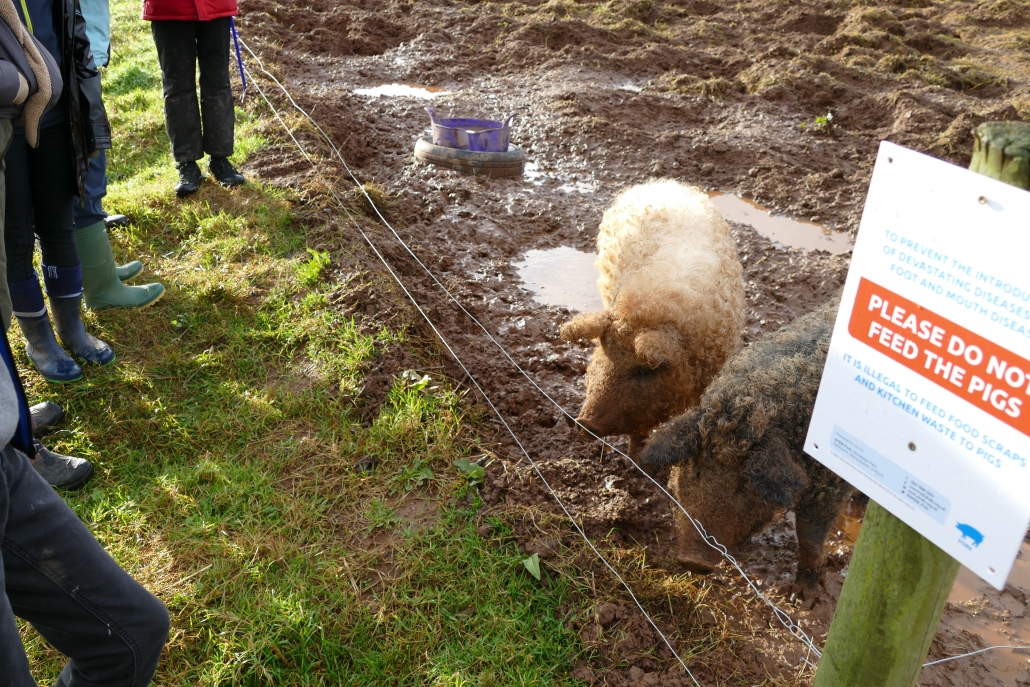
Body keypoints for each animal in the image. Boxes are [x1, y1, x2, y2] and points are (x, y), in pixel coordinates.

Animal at [640, 296, 853, 602]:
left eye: (743, 483)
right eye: (696, 469)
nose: (693, 560)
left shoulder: (830, 489)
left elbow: (810, 538)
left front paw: (801, 598)